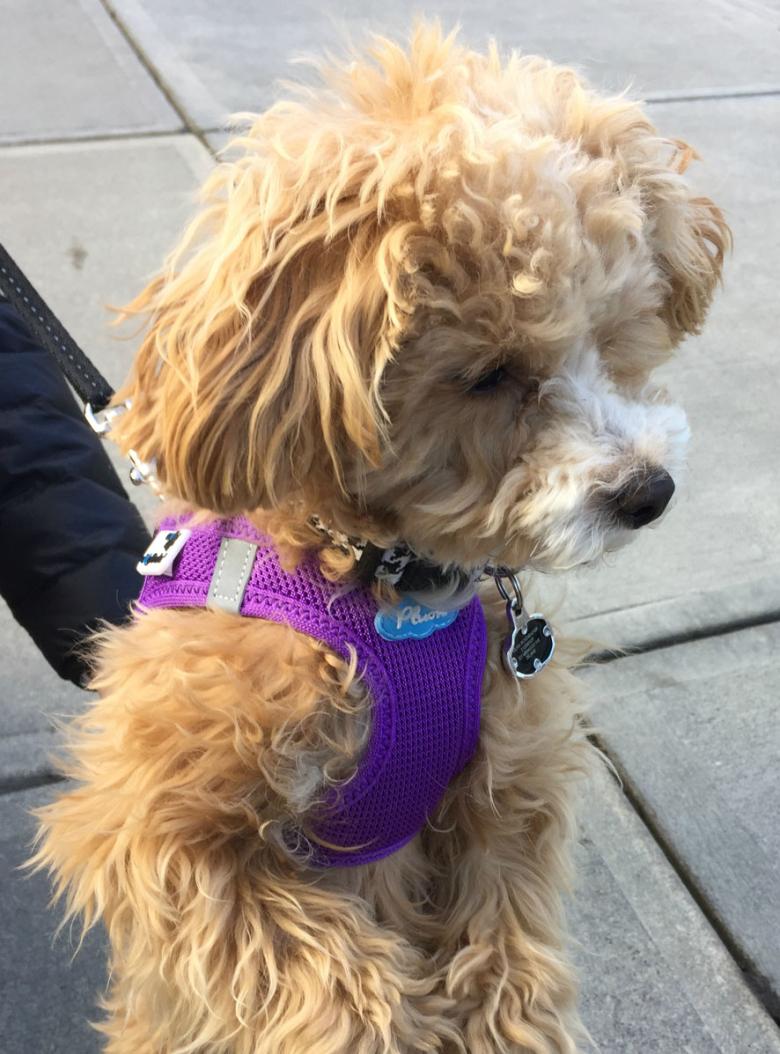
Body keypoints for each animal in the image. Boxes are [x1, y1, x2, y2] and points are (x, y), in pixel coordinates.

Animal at [28, 18, 725, 1054]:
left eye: (612, 337)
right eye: (487, 375)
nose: (649, 491)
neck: (386, 587)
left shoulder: (503, 793)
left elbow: (505, 945)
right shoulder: (161, 833)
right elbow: (322, 967)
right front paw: (390, 1019)